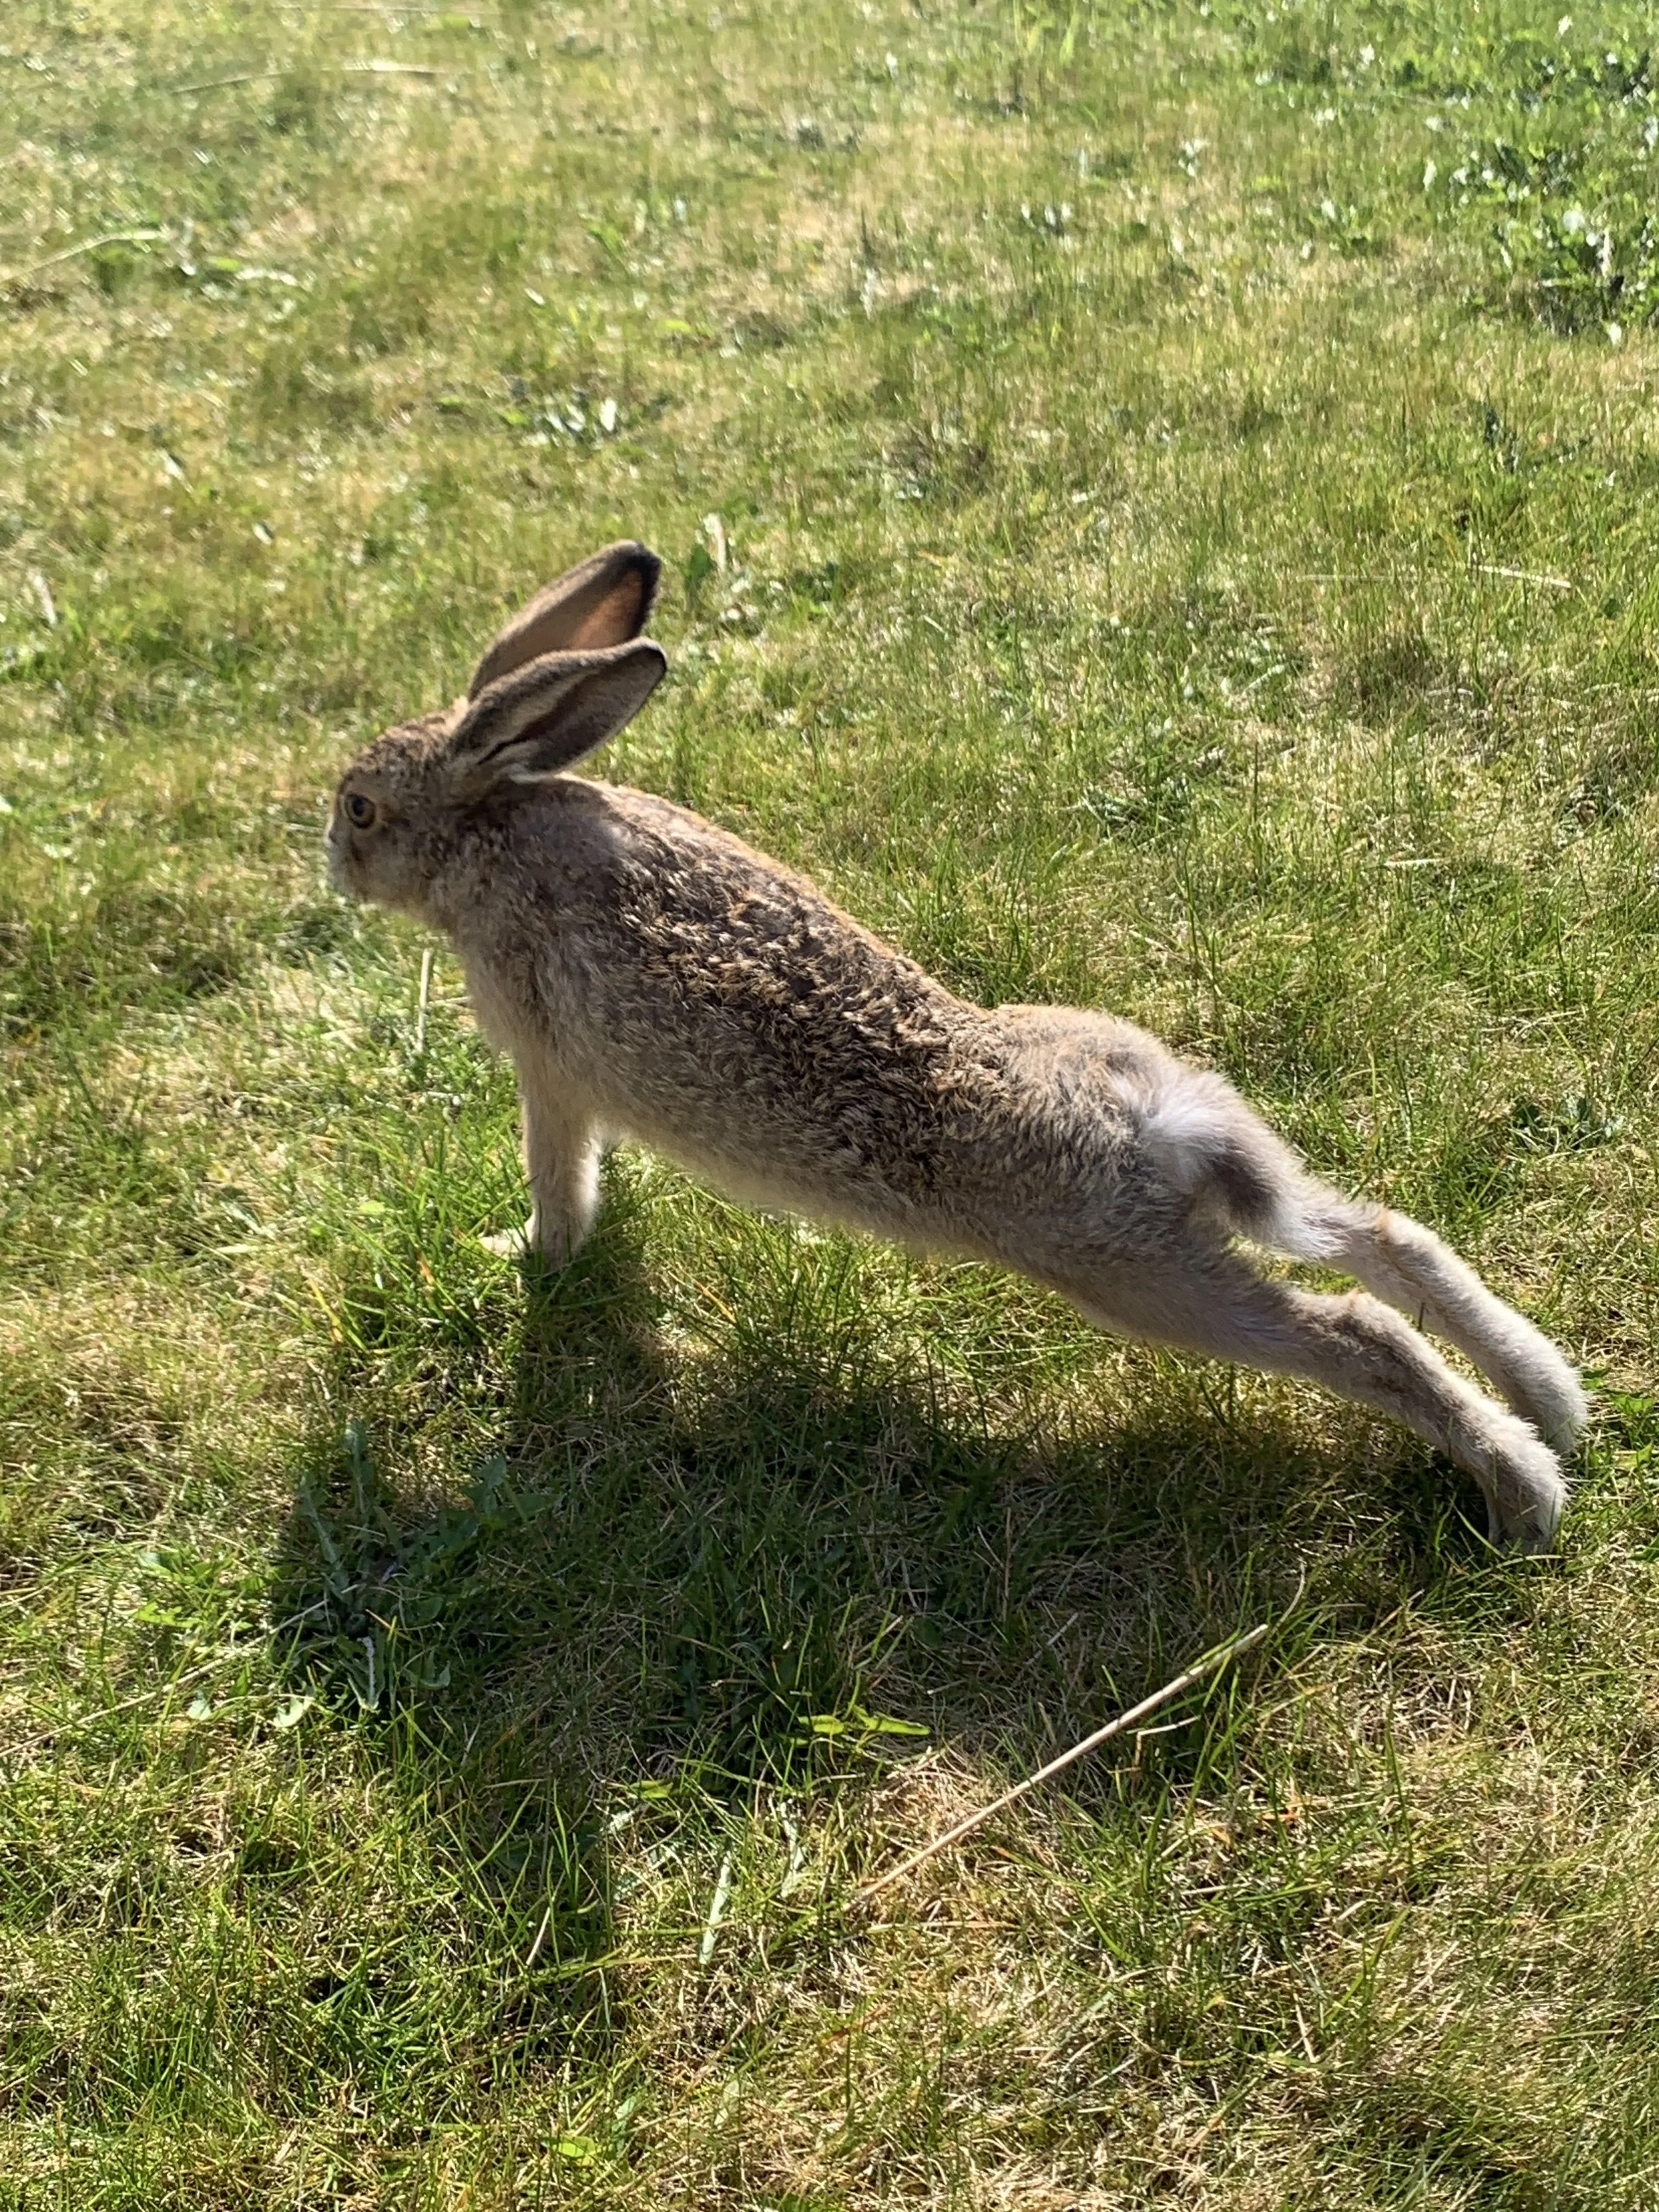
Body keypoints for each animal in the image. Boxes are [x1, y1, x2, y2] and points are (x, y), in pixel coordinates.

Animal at [326, 540, 1587, 1550]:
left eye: (359, 808)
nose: (333, 867)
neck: (487, 826)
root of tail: (1147, 1118)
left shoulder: (547, 1070)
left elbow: (560, 1176)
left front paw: (523, 1253)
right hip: (1214, 1183)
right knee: (1380, 1234)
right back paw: (1553, 1397)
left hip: (1126, 1269)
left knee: (1357, 1331)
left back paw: (1523, 1491)